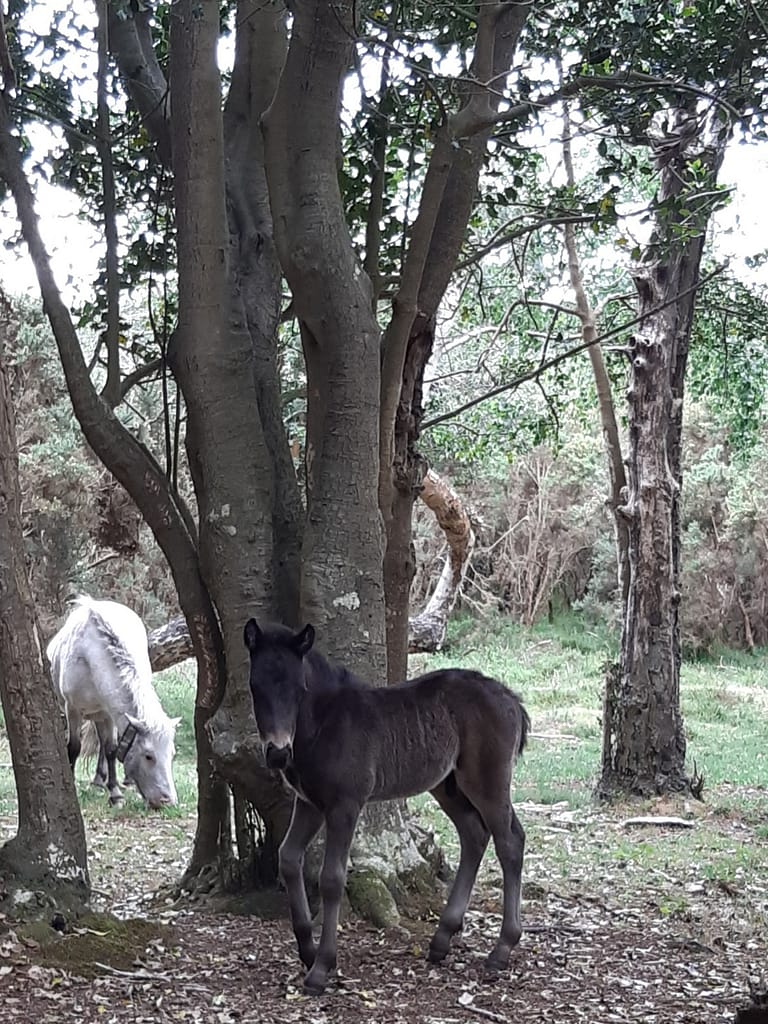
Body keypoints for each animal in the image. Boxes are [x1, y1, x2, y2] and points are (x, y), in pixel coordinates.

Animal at [47, 596, 179, 810]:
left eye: (172, 754)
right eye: (148, 756)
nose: (167, 801)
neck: (90, 658)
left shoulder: (109, 713)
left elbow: (111, 749)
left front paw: (115, 794)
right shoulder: (72, 710)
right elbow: (74, 747)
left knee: (105, 744)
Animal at [243, 618, 530, 996]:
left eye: (298, 688)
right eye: (254, 686)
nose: (277, 753)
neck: (323, 723)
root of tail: (510, 698)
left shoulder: (345, 805)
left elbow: (332, 878)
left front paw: (322, 967)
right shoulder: (309, 804)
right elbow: (288, 859)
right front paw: (306, 950)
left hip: (487, 782)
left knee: (510, 841)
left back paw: (502, 948)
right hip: (447, 786)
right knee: (474, 834)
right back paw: (442, 939)